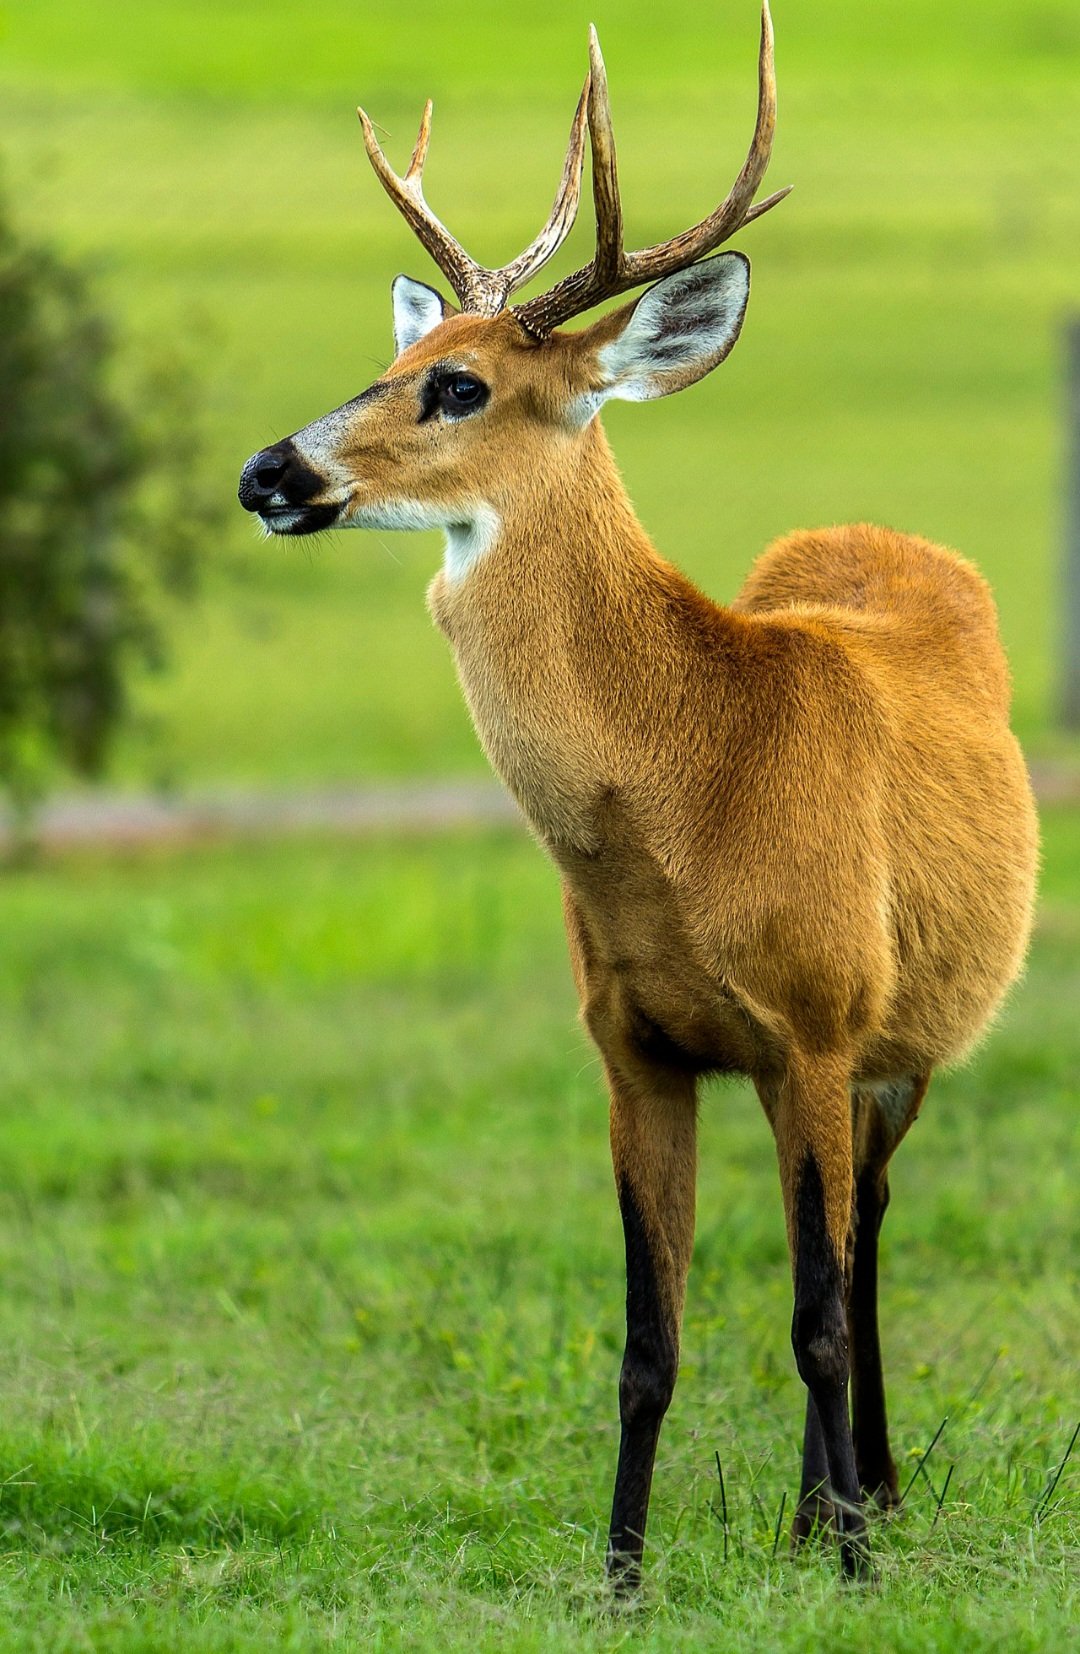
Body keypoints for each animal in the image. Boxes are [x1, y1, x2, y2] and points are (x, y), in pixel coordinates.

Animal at [238, 3, 1038, 1601]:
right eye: (395, 354)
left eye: (460, 385)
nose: (266, 471)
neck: (693, 790)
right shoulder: (632, 1045)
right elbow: (647, 1340)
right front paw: (621, 1572)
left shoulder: (817, 1019)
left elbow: (813, 1311)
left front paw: (857, 1573)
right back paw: (821, 1504)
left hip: (905, 1040)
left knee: (862, 1243)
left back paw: (862, 1502)